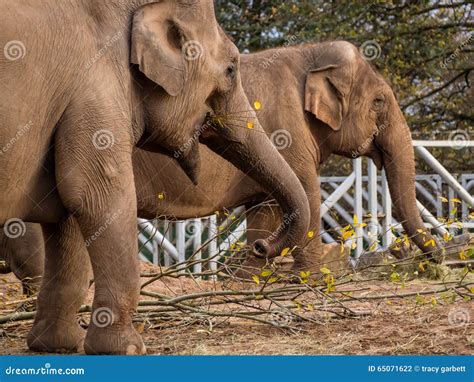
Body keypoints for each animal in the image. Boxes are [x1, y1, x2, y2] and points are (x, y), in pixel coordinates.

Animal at [0, 0, 312, 354]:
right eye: (232, 69)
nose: (261, 246)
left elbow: (66, 210)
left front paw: (59, 344)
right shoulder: (96, 93)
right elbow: (97, 195)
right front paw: (127, 348)